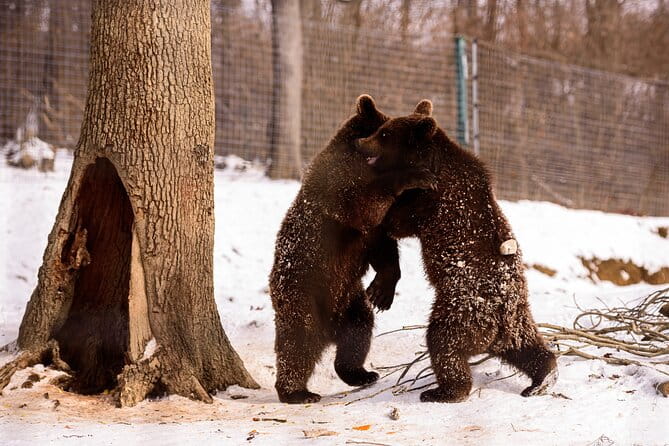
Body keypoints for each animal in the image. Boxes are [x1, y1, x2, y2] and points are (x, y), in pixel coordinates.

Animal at [269, 95, 438, 404]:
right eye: (382, 131)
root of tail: (328, 331)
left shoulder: (372, 233)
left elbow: (383, 248)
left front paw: (383, 292)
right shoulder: (339, 188)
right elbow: (363, 204)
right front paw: (414, 176)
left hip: (349, 300)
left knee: (358, 334)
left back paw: (361, 373)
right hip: (304, 294)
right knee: (297, 344)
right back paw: (297, 392)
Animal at [355, 100, 558, 403]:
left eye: (384, 134)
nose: (361, 143)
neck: (432, 161)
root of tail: (500, 320)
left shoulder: (432, 201)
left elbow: (398, 221)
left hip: (460, 310)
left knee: (443, 342)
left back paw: (442, 391)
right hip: (518, 320)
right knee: (528, 347)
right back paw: (542, 379)